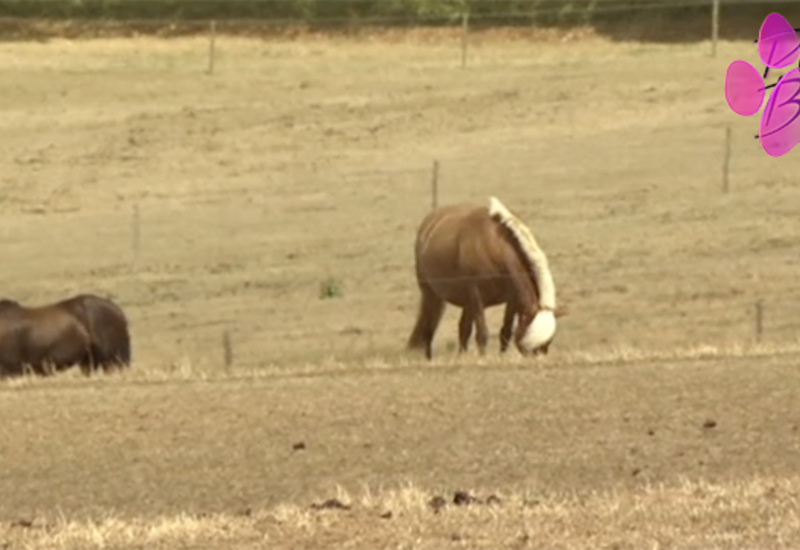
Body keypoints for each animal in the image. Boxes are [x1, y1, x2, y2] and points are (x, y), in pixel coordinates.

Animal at [410, 196, 560, 360]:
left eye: (546, 344)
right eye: (530, 346)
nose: (539, 360)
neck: (493, 247)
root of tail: (429, 222)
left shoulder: (512, 301)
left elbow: (505, 332)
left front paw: (501, 357)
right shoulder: (477, 297)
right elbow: (482, 333)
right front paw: (482, 358)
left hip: (466, 303)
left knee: (463, 328)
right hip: (431, 294)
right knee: (429, 325)